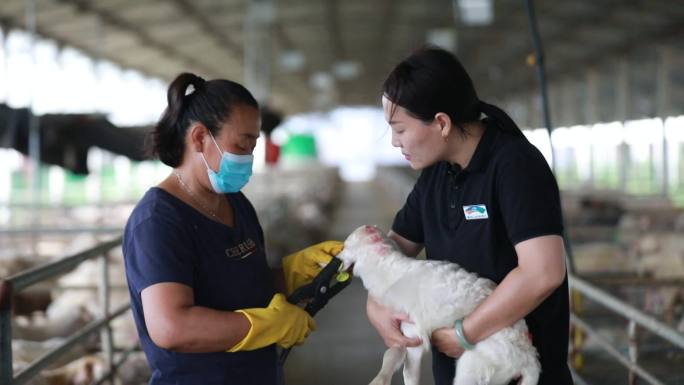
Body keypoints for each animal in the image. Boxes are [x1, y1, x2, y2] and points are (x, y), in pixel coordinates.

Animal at [336, 225, 540, 384]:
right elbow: (391, 355)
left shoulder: (413, 335)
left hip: (472, 368)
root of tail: (530, 361)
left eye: (345, 246)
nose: (336, 257)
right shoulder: (401, 336)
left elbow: (408, 373)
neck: (390, 271)